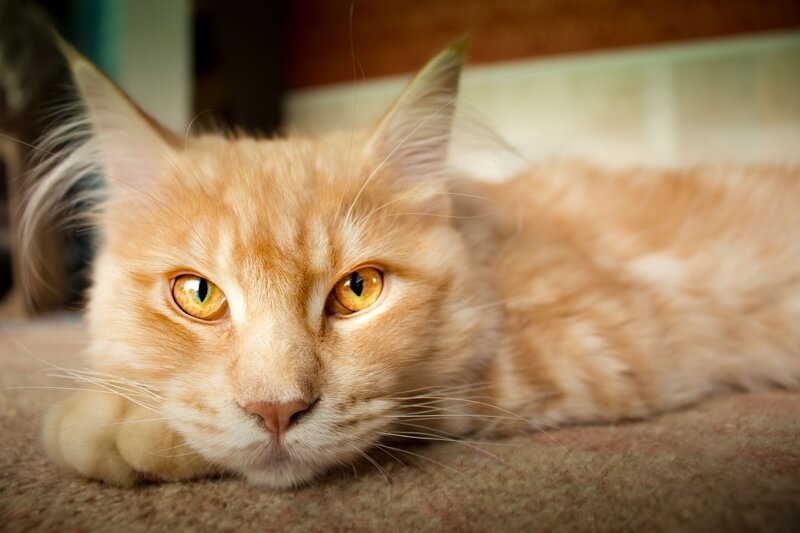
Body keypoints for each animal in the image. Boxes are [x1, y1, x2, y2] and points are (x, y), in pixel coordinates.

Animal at [29, 35, 800, 488]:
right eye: (197, 294)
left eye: (359, 289)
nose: (278, 411)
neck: (487, 247)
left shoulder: (612, 334)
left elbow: (435, 392)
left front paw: (126, 422)